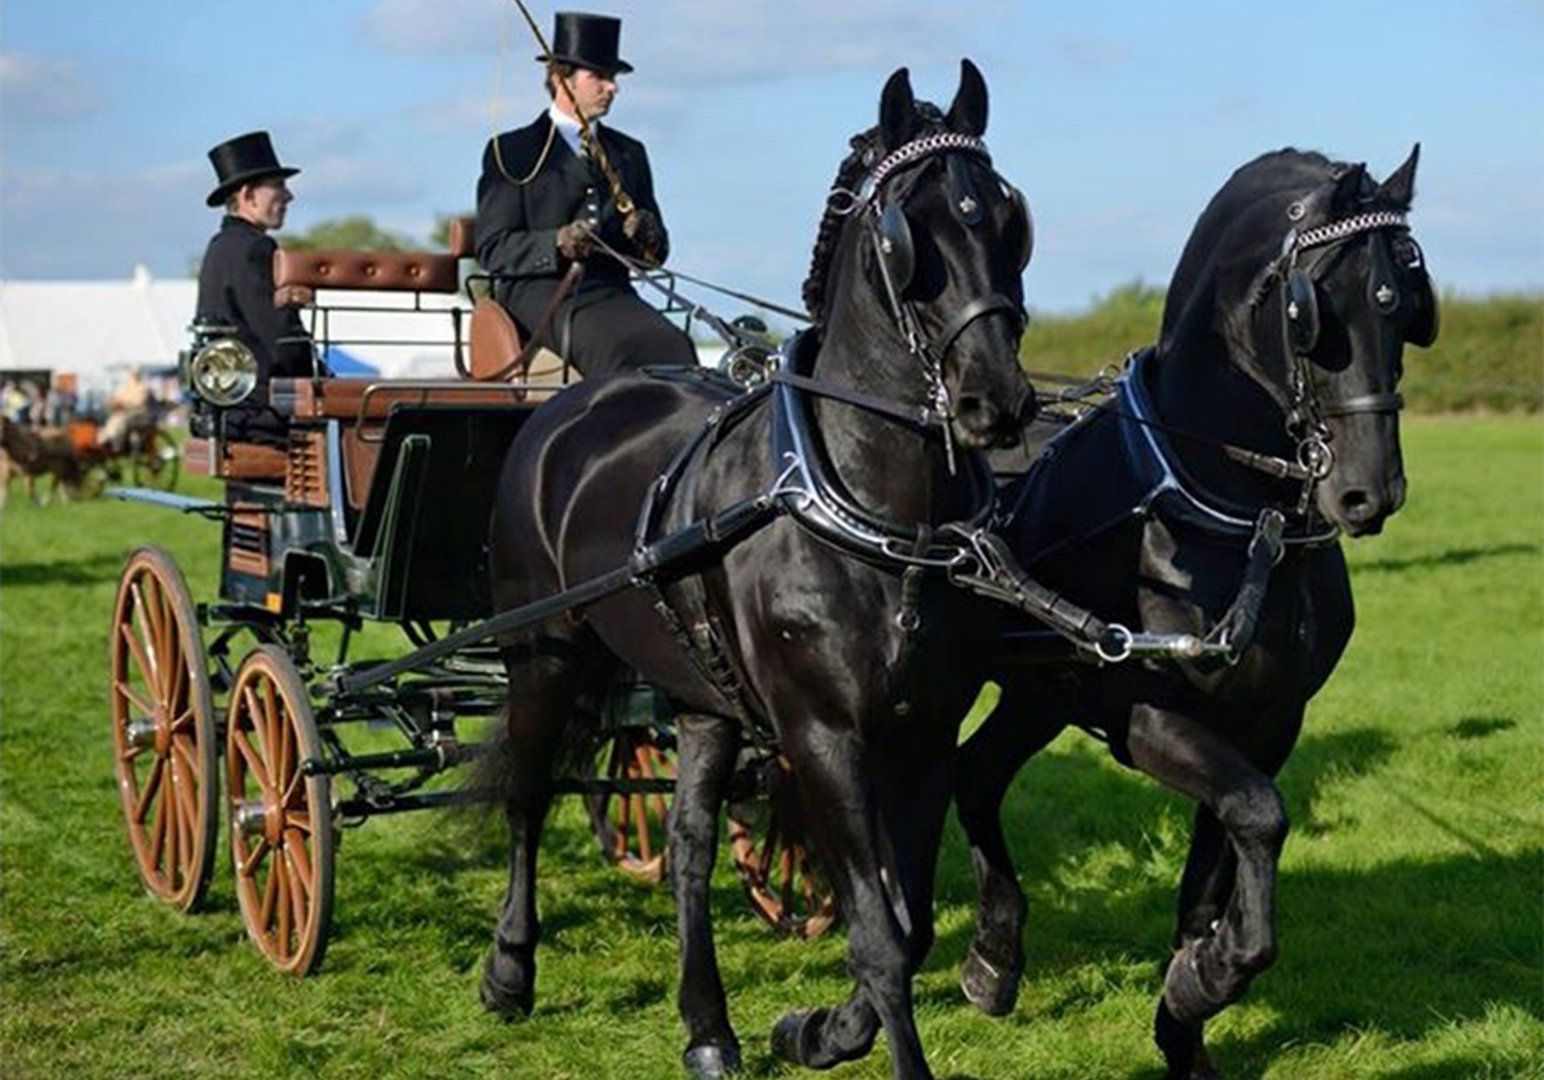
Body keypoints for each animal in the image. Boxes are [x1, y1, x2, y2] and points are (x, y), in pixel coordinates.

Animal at [476, 61, 1035, 1080]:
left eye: (1009, 216)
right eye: (905, 234)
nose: (995, 400)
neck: (877, 512)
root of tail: (564, 406)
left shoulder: (926, 731)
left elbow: (909, 923)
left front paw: (822, 1031)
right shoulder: (820, 737)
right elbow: (878, 935)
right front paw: (859, 1036)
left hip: (701, 693)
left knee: (690, 844)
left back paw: (707, 1025)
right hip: (543, 653)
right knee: (528, 797)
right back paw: (509, 970)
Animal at [954, 146, 1437, 1078]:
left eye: (1406, 300)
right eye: (1311, 310)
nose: (1368, 492)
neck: (1232, 514)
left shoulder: (1269, 722)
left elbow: (1213, 874)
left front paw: (1187, 1011)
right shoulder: (1143, 716)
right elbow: (1259, 814)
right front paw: (1210, 975)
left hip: (1038, 693)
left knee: (978, 774)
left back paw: (994, 957)